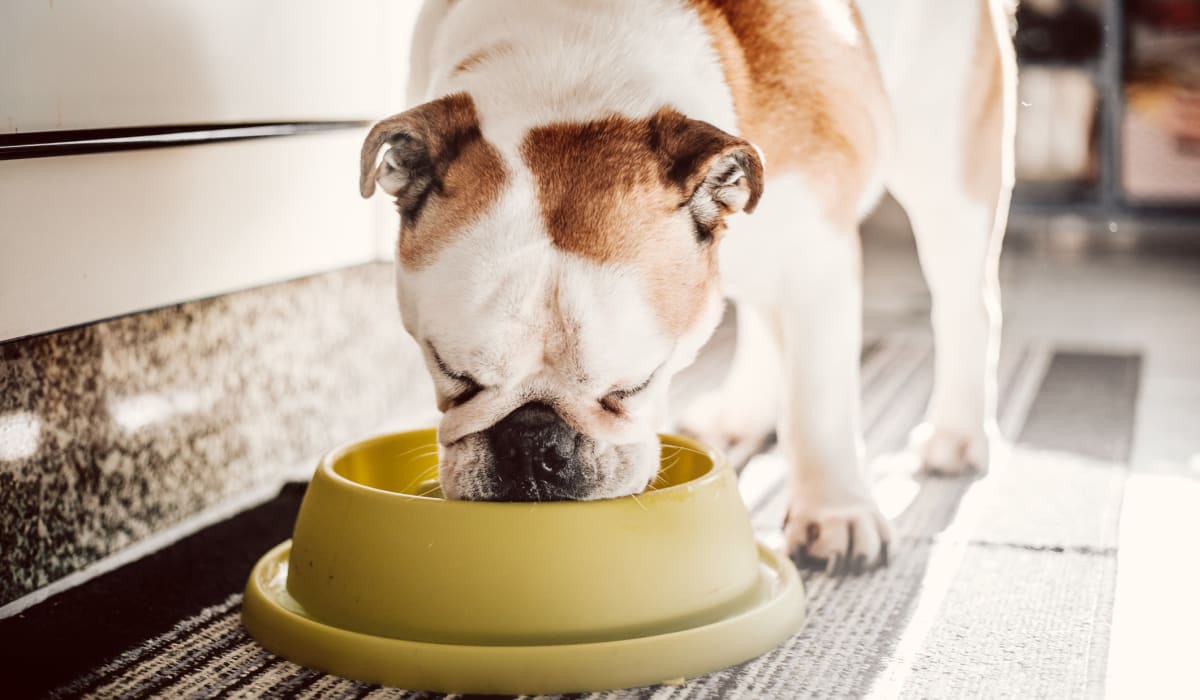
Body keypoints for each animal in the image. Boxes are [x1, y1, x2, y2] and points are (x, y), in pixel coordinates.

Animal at [360, 1, 1017, 576]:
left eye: (633, 386)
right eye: (453, 375)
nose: (533, 445)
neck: (569, 76)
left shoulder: (819, 263)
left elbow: (820, 404)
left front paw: (836, 514)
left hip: (945, 167)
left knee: (964, 301)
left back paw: (957, 437)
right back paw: (739, 415)